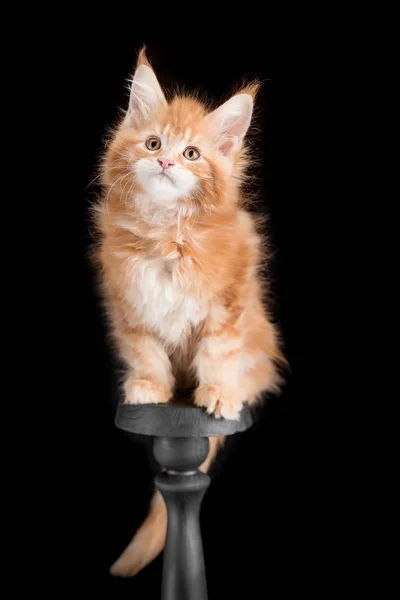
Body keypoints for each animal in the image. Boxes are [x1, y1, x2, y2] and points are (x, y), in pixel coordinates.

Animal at [90, 48, 284, 576]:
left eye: (192, 154)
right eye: (154, 142)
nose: (164, 160)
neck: (165, 234)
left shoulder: (228, 304)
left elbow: (218, 353)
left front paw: (217, 394)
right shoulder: (129, 304)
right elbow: (146, 352)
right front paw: (149, 388)